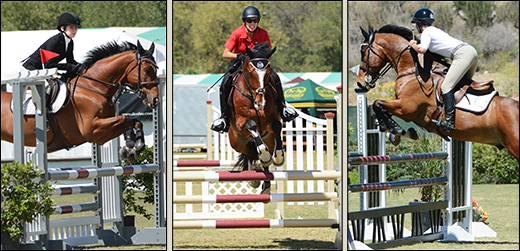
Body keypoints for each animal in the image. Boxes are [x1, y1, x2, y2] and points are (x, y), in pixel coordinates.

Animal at [1, 40, 159, 163]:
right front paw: (132, 145)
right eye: (146, 70)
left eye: (156, 69)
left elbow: (133, 121)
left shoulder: (101, 133)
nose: (156, 99)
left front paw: (132, 147)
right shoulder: (92, 130)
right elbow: (125, 118)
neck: (94, 87)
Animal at [228, 42, 284, 193]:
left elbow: (277, 126)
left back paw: (265, 184)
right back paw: (253, 178)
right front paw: (264, 156)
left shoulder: (272, 120)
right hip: (238, 142)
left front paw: (278, 157)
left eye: (268, 72)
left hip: (268, 139)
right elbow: (251, 125)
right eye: (250, 72)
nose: (260, 103)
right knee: (250, 154)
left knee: (258, 156)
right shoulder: (241, 122)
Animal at [356, 25, 516, 161]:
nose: (360, 83)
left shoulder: (406, 108)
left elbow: (377, 103)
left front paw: (389, 128)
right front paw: (397, 132)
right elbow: (384, 110)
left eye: (363, 52)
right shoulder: (405, 108)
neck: (415, 70)